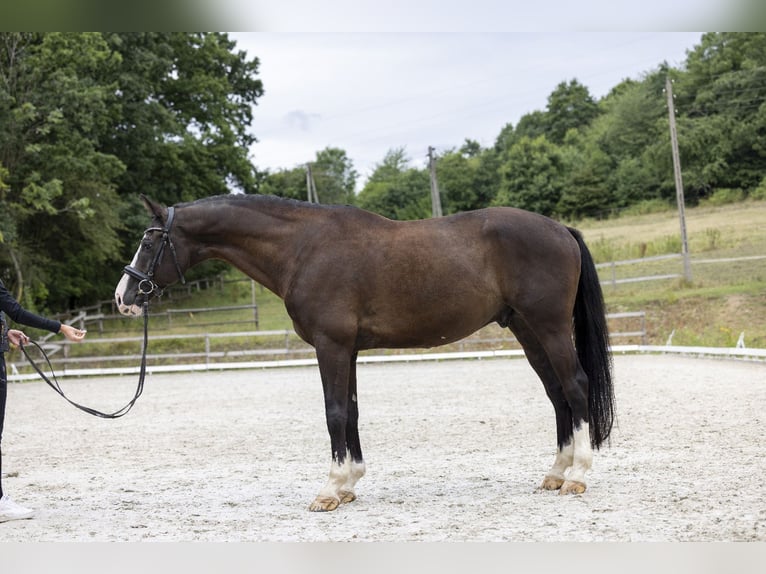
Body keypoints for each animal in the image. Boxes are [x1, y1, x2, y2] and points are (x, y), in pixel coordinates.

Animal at [115, 195, 616, 512]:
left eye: (148, 241)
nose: (124, 297)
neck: (303, 249)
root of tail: (560, 229)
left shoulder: (332, 346)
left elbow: (334, 412)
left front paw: (330, 490)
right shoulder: (348, 350)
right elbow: (351, 411)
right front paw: (350, 482)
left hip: (549, 327)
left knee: (576, 387)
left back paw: (577, 476)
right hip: (527, 330)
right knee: (557, 395)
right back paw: (556, 472)